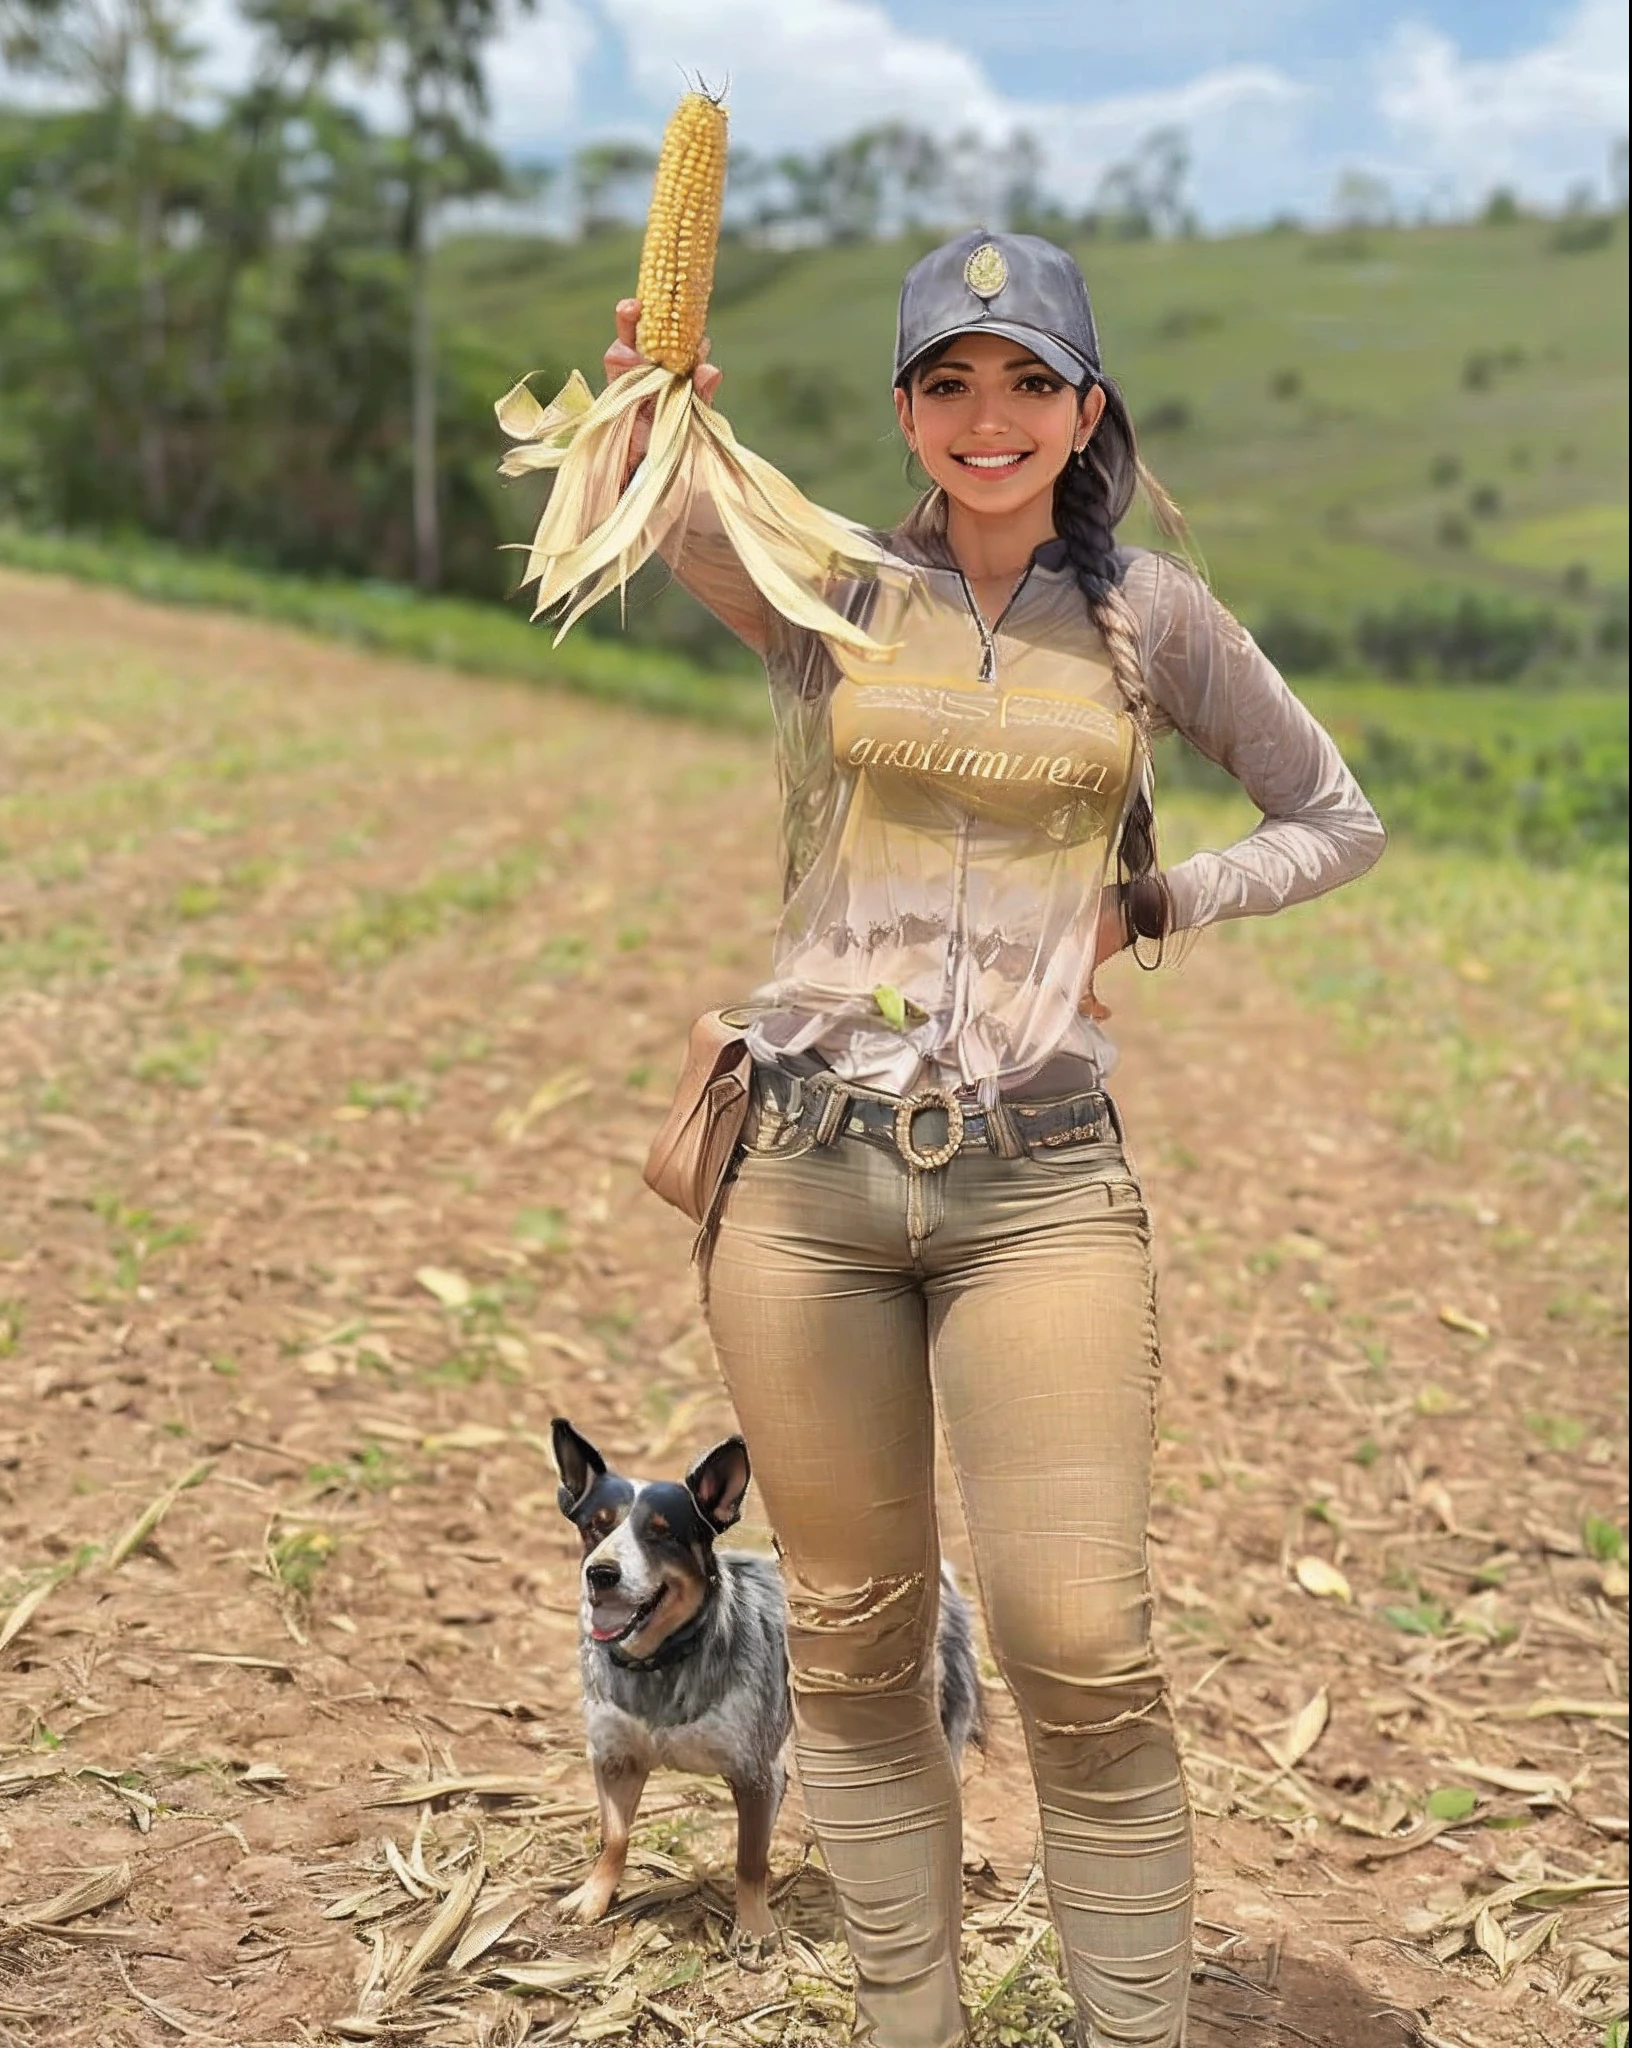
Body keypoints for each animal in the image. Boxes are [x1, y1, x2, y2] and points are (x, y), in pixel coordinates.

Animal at [548, 1417, 978, 1941]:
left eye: (661, 1535)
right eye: (596, 1526)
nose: (601, 1573)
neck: (665, 1661)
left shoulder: (757, 1775)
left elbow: (749, 1861)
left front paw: (754, 1928)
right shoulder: (614, 1758)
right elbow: (614, 1837)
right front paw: (593, 1898)